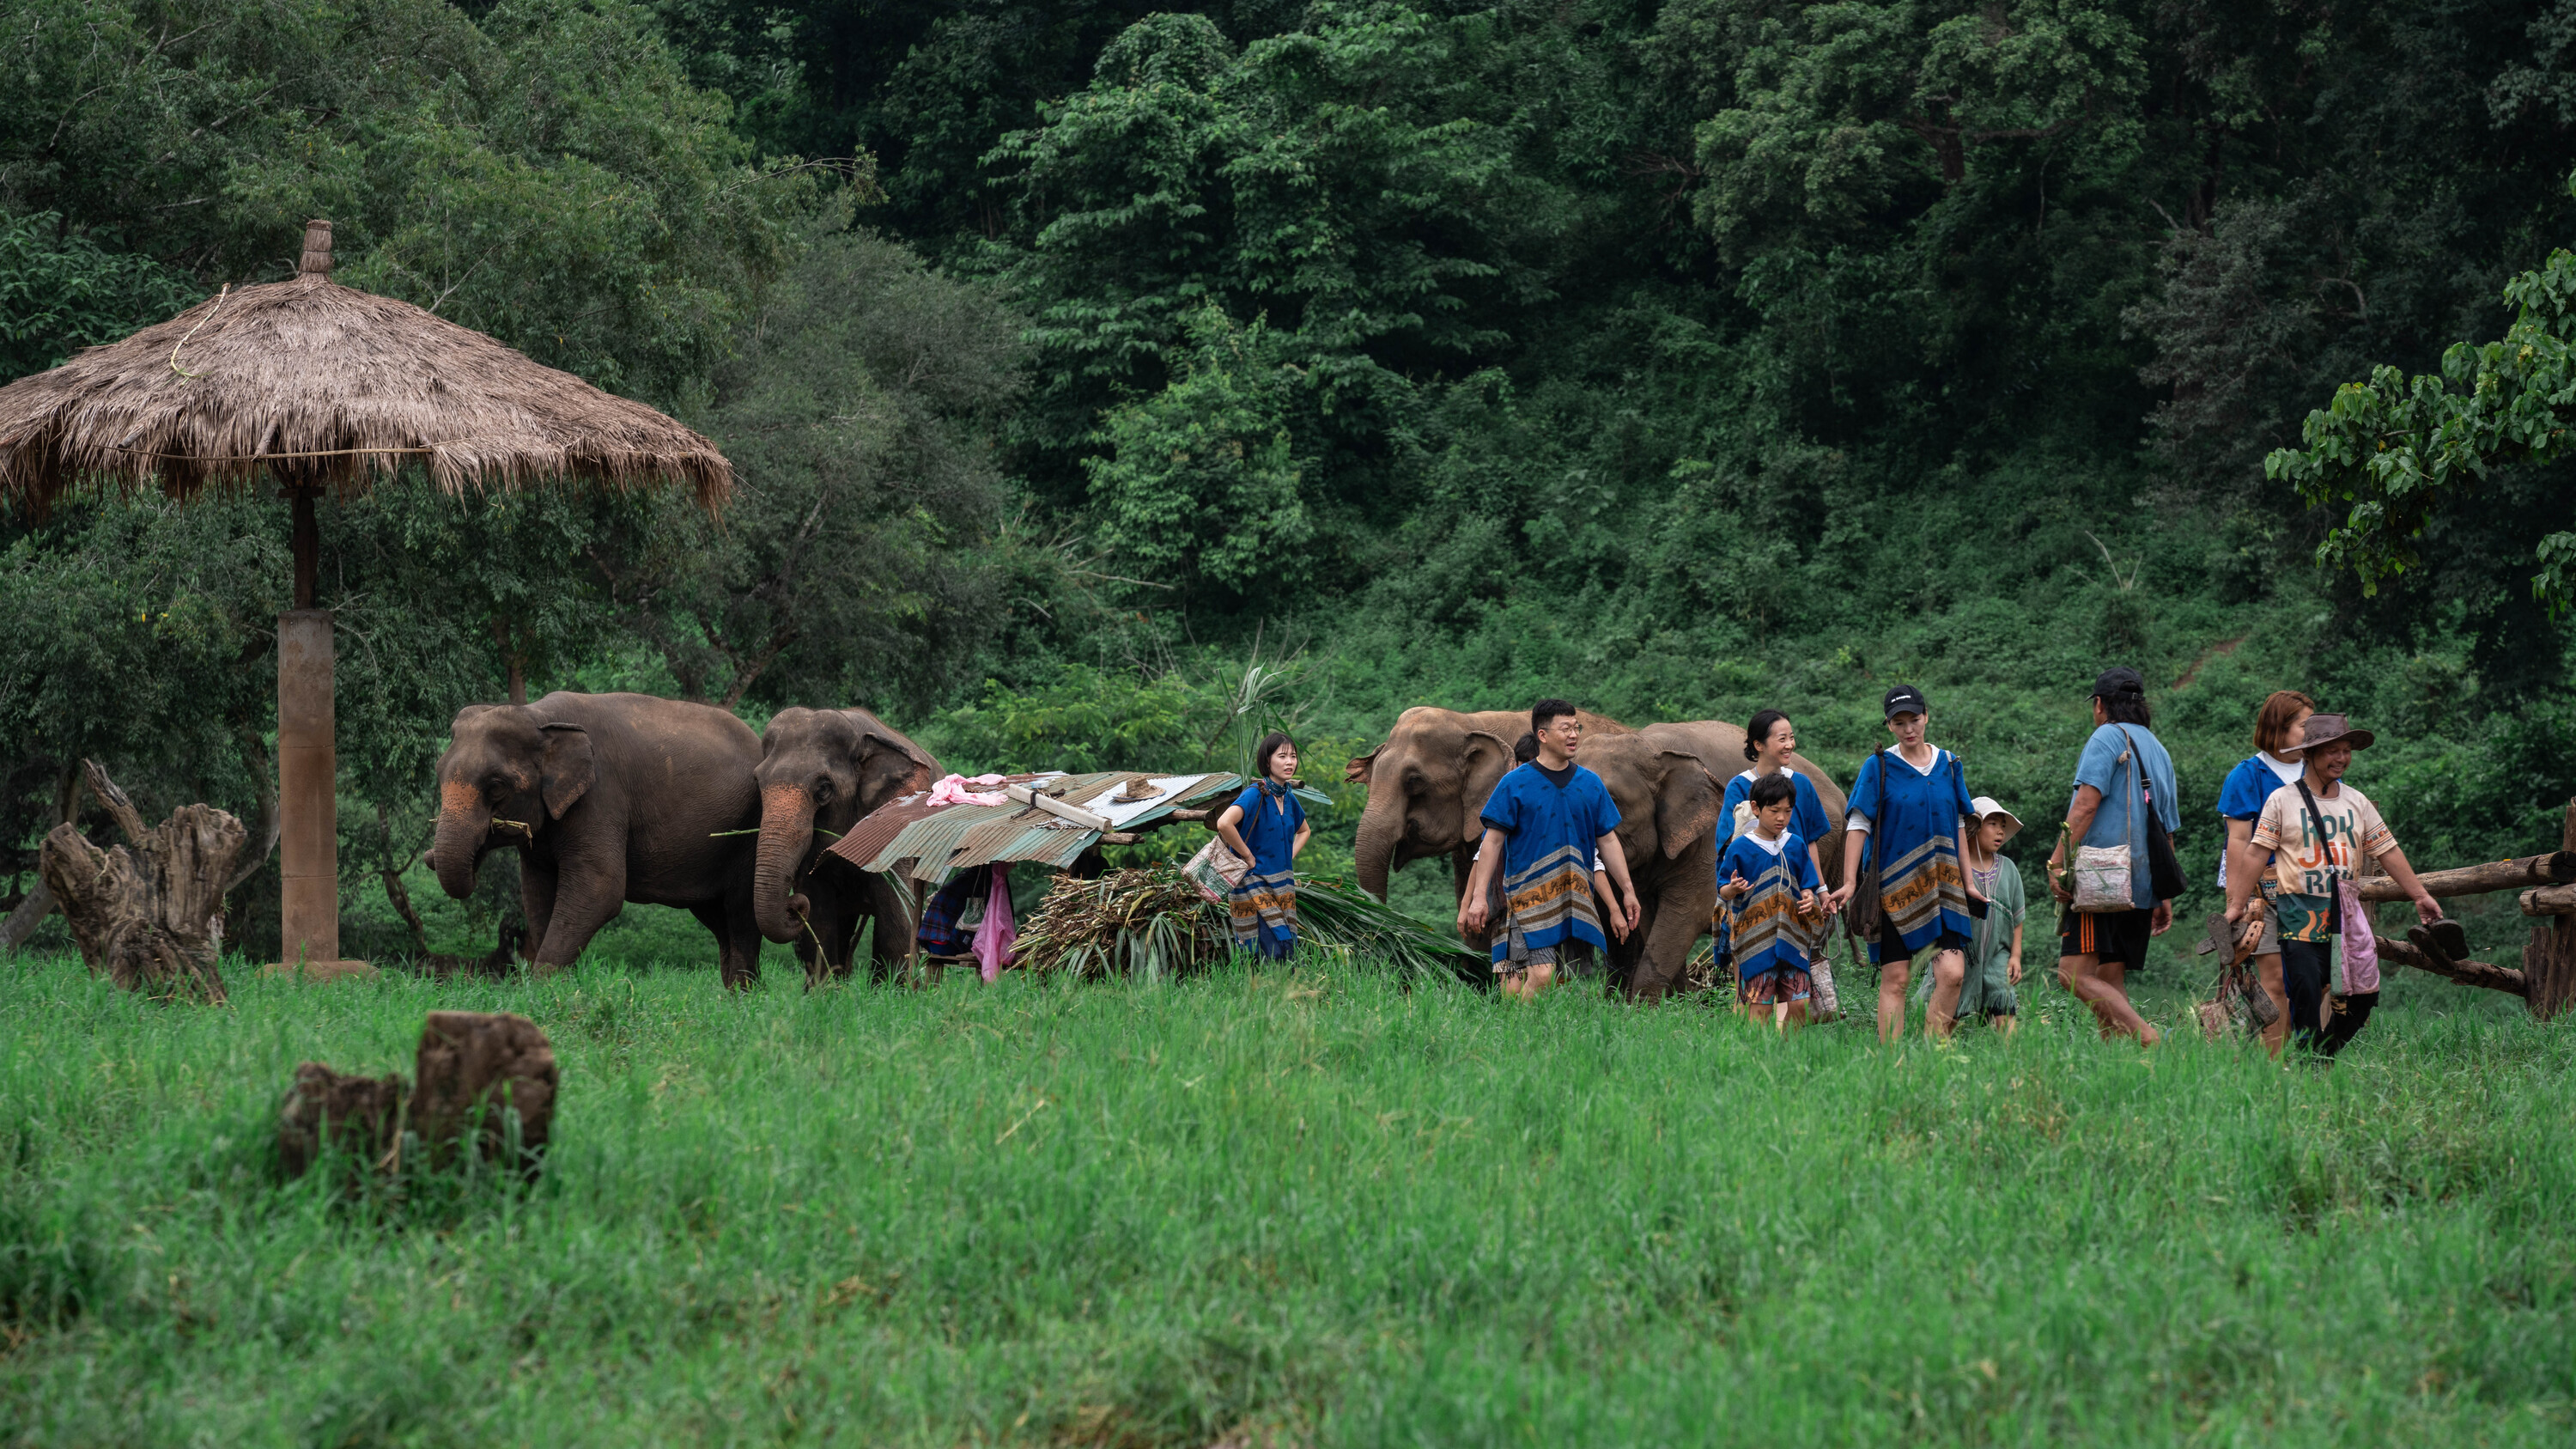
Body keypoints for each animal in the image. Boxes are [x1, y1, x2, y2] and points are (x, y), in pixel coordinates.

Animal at [431, 692, 766, 983]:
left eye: (497, 786)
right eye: (438, 773)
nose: (429, 857)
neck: (539, 715)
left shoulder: (601, 795)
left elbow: (601, 888)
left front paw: (545, 990)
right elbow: (536, 893)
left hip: (749, 834)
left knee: (740, 915)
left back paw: (743, 997)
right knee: (718, 919)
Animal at [751, 706, 939, 984]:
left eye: (824, 788)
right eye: (758, 783)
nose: (794, 905)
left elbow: (895, 907)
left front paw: (894, 992)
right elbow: (819, 910)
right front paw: (824, 992)